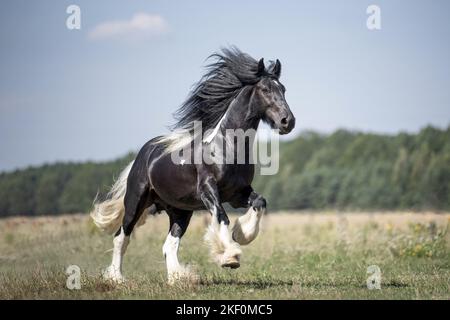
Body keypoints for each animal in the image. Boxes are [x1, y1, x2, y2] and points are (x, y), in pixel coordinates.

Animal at [90, 46, 296, 284]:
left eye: (283, 89)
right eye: (265, 89)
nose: (288, 121)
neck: (226, 146)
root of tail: (144, 154)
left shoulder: (238, 194)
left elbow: (260, 202)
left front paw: (241, 235)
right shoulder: (208, 190)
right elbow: (221, 216)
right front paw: (230, 256)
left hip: (181, 211)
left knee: (169, 245)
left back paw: (178, 278)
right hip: (136, 200)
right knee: (121, 236)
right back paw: (116, 278)